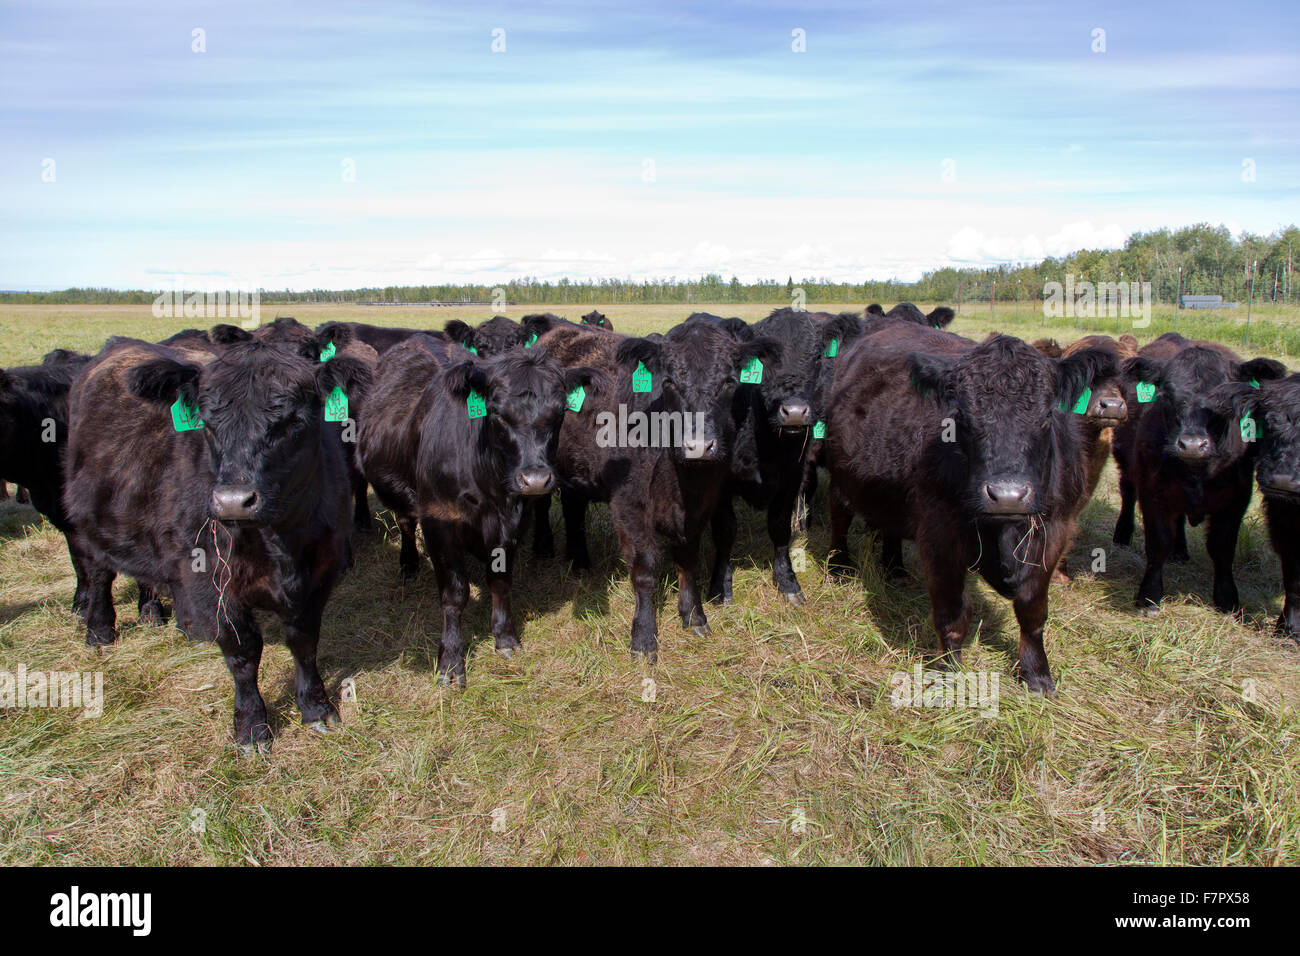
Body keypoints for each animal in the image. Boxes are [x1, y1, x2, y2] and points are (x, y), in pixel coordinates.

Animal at [62, 332, 369, 749]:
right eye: (206, 423)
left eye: (295, 421)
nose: (233, 501)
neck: (280, 540)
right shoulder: (213, 582)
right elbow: (242, 652)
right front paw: (252, 726)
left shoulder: (320, 572)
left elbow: (304, 642)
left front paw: (316, 708)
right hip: (89, 521)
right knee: (98, 574)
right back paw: (99, 630)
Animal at [358, 332, 595, 686]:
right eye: (497, 413)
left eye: (559, 415)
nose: (535, 480)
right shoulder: (439, 523)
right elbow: (455, 594)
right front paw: (451, 662)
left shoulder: (513, 525)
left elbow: (500, 582)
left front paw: (505, 638)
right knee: (405, 523)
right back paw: (409, 564)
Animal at [821, 325, 1118, 691]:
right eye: (962, 418)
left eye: (1047, 416)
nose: (1007, 495)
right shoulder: (940, 537)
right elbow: (952, 614)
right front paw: (948, 674)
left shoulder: (1054, 532)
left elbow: (1033, 610)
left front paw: (1037, 675)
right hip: (842, 475)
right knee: (840, 514)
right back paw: (839, 566)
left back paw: (894, 569)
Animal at [1107, 335, 1289, 616]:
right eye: (1166, 395)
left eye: (1227, 401)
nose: (1192, 444)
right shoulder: (1152, 491)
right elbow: (1158, 542)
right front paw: (1149, 596)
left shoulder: (1237, 498)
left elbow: (1222, 547)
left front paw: (1227, 598)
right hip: (1127, 463)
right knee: (1128, 494)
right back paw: (1123, 535)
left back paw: (1180, 550)